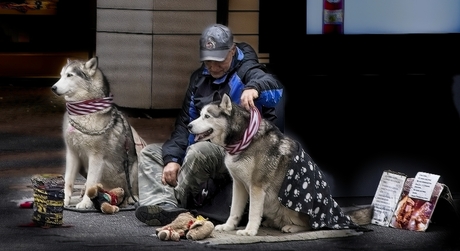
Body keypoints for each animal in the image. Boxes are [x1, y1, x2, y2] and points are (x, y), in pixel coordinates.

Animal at [50, 57, 145, 209]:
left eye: (70, 75)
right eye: (61, 75)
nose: (53, 88)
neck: (82, 112)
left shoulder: (96, 158)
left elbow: (91, 182)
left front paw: (85, 203)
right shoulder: (72, 153)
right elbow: (68, 180)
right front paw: (64, 200)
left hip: (135, 166)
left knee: (134, 190)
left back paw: (131, 198)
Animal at [189, 93, 372, 235]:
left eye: (207, 116)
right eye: (200, 114)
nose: (189, 125)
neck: (243, 138)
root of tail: (337, 214)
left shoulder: (256, 186)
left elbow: (253, 212)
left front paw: (249, 231)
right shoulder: (239, 184)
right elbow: (234, 210)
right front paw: (228, 227)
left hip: (291, 205)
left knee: (312, 226)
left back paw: (291, 227)